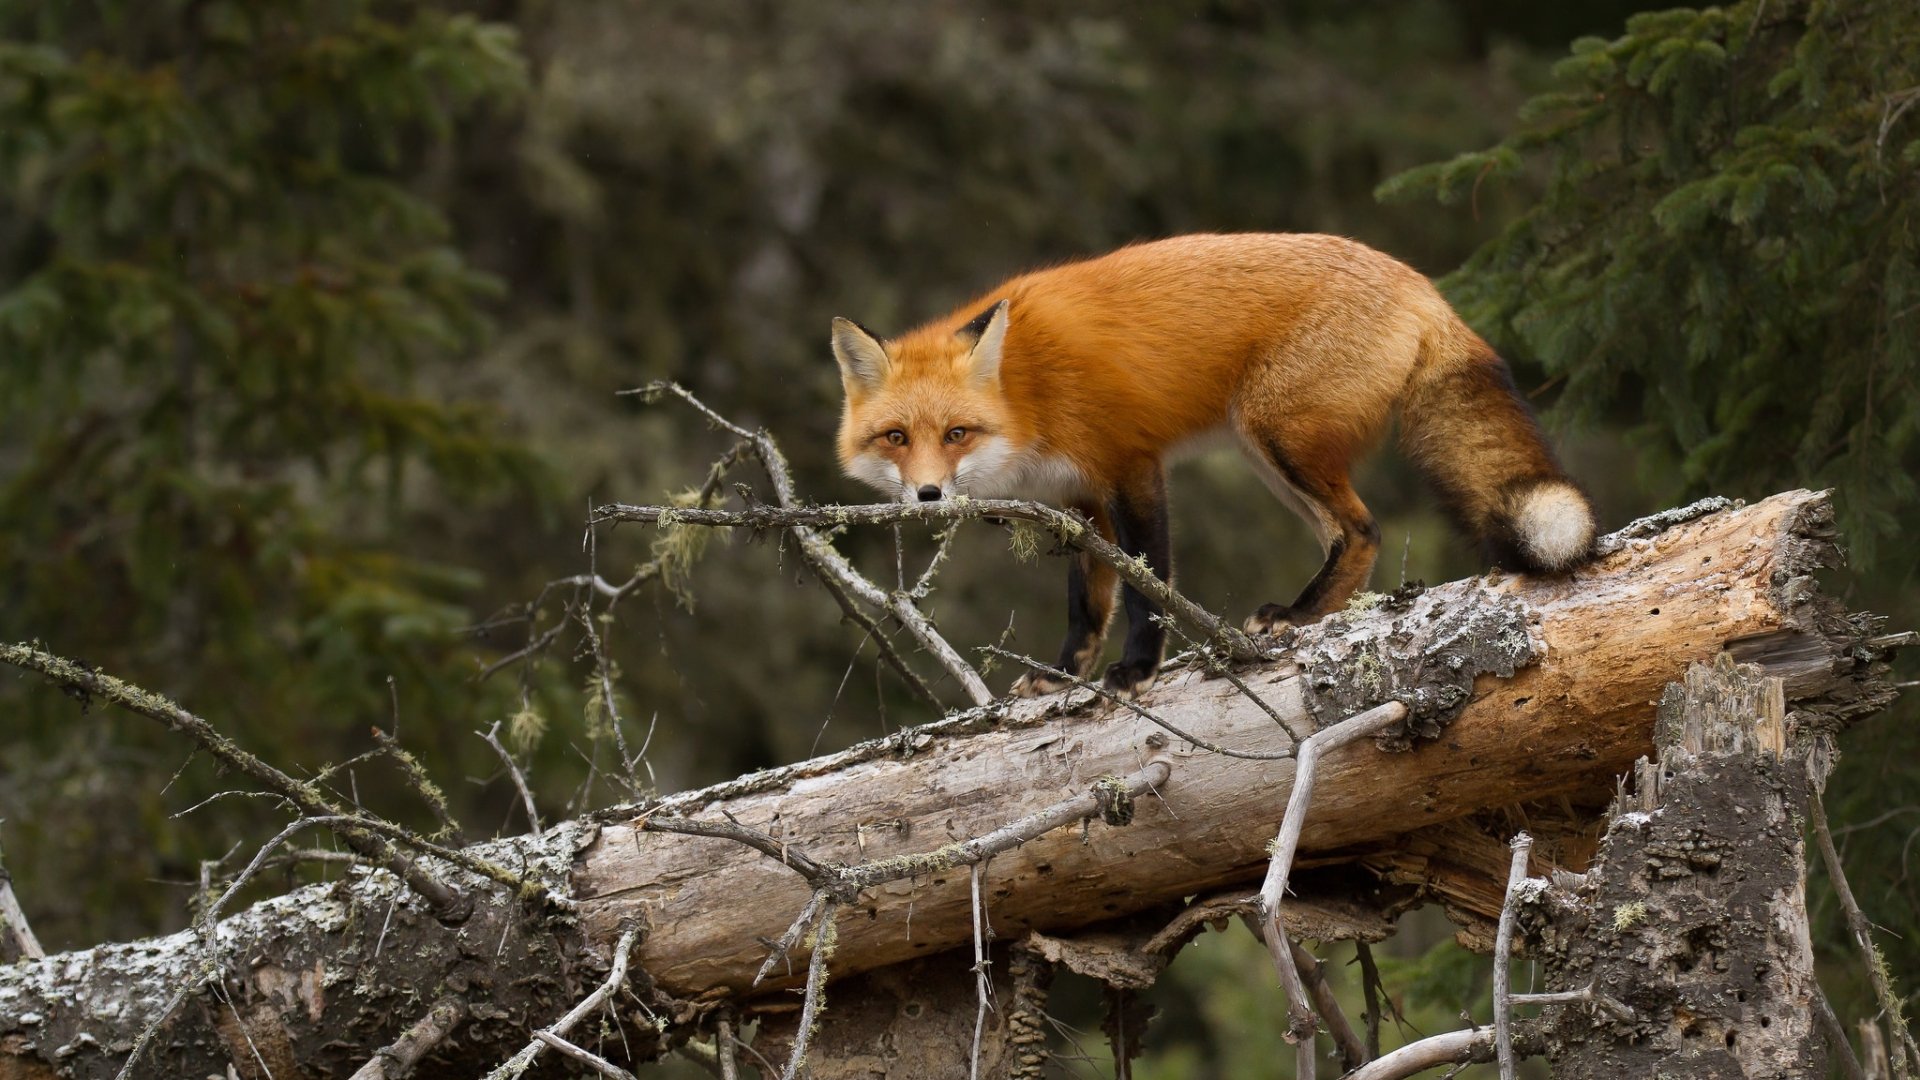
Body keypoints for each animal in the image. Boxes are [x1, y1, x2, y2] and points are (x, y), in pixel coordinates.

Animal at [830, 233, 1596, 700]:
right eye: (896, 437)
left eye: (956, 433)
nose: (928, 496)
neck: (1028, 394)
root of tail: (1421, 285)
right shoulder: (1077, 499)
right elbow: (1087, 603)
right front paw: (1061, 676)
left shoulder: (1131, 466)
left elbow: (1147, 586)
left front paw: (1137, 670)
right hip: (1266, 455)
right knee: (1345, 536)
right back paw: (1310, 615)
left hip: (1276, 435)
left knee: (1363, 529)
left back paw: (1296, 613)